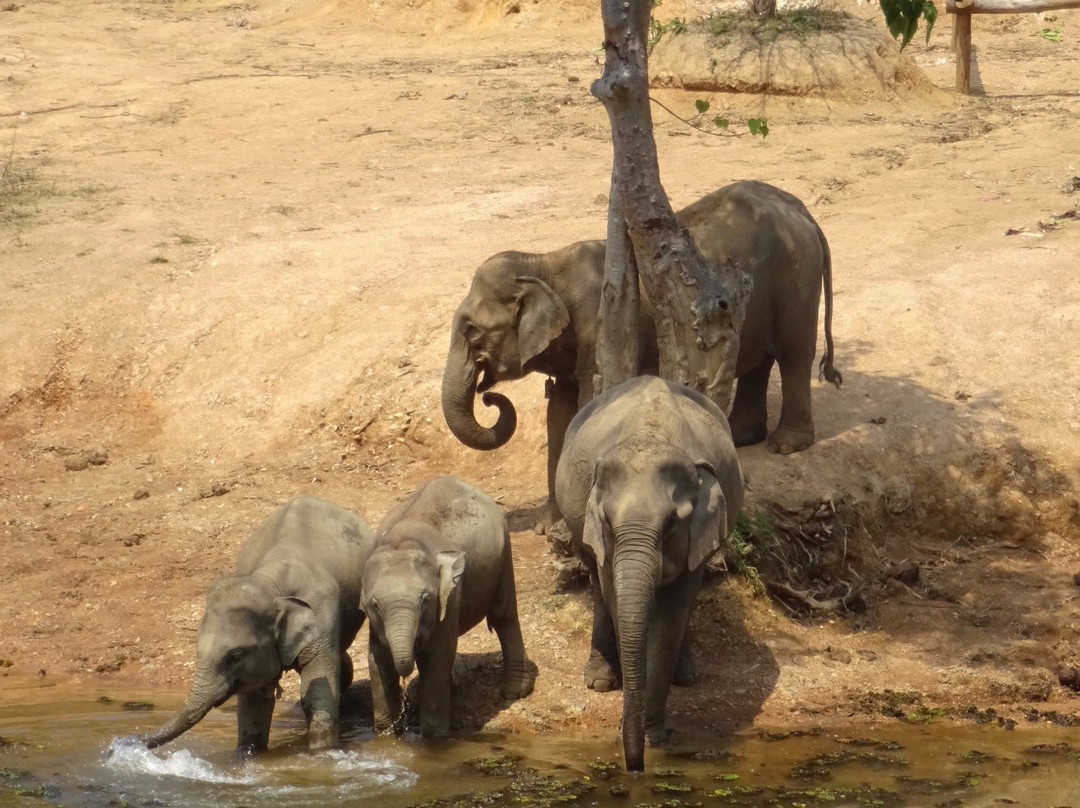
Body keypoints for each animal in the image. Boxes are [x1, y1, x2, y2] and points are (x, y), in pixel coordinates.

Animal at [122, 496, 374, 756]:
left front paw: (322, 754)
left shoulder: (322, 615)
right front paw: (246, 756)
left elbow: (316, 693)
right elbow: (254, 700)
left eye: (235, 655)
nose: (122, 743)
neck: (270, 583)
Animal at [361, 475, 535, 737]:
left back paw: (513, 692)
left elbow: (437, 656)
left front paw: (435, 737)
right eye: (375, 604)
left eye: (425, 600)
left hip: (504, 550)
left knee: (503, 615)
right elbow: (377, 657)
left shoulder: (450, 598)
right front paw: (386, 733)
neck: (402, 541)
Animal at [441, 179, 840, 524]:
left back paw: (785, 446)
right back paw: (741, 438)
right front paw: (550, 524)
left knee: (793, 353)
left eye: (471, 331)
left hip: (796, 275)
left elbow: (586, 405)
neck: (543, 263)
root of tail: (801, 209)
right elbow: (560, 411)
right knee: (760, 358)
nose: (488, 395)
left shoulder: (600, 331)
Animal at [555, 375, 744, 772]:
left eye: (672, 523)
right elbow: (615, 595)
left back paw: (686, 676)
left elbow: (672, 614)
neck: (652, 434)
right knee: (597, 586)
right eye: (608, 521)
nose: (635, 768)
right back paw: (599, 681)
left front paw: (654, 736)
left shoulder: (696, 536)